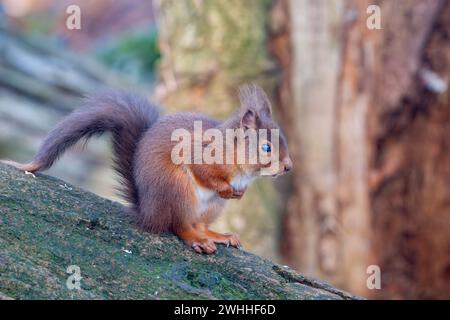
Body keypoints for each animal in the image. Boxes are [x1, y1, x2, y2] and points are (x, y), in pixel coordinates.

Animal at [5, 84, 294, 254]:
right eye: (266, 147)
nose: (289, 167)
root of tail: (148, 212)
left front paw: (239, 193)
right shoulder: (201, 154)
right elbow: (204, 171)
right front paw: (224, 187)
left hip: (210, 208)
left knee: (197, 224)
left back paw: (218, 235)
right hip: (178, 190)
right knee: (180, 226)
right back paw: (198, 240)